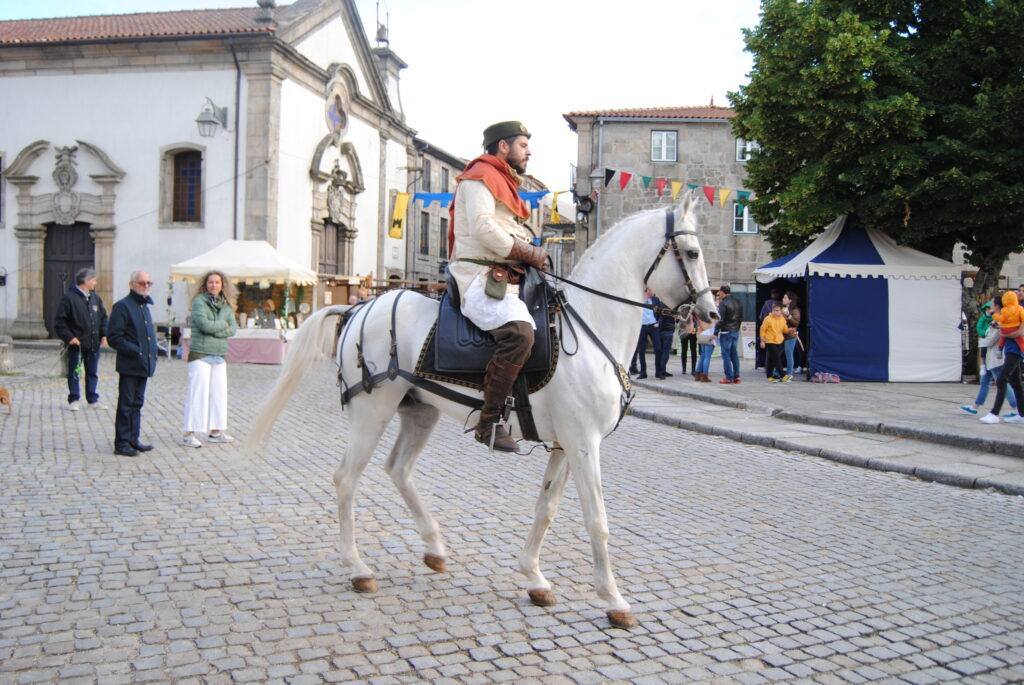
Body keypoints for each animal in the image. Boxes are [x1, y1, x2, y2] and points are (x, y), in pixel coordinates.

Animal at [251, 193, 719, 629]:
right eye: (692, 253)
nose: (711, 314)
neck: (590, 326)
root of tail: (357, 308)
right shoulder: (584, 443)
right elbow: (596, 519)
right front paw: (614, 600)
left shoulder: (565, 445)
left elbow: (546, 508)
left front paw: (533, 577)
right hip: (372, 412)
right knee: (346, 479)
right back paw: (358, 568)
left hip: (419, 412)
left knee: (398, 469)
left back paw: (434, 548)